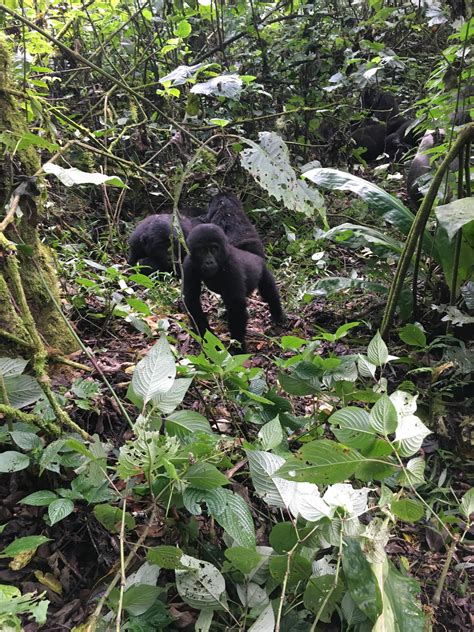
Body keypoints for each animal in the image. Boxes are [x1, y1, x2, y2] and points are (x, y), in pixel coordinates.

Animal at [181, 222, 286, 354]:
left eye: (214, 249)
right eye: (202, 251)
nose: (209, 262)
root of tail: (255, 255)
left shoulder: (232, 266)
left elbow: (236, 307)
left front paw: (238, 348)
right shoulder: (188, 264)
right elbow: (191, 300)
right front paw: (209, 340)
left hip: (263, 269)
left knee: (269, 293)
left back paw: (278, 315)